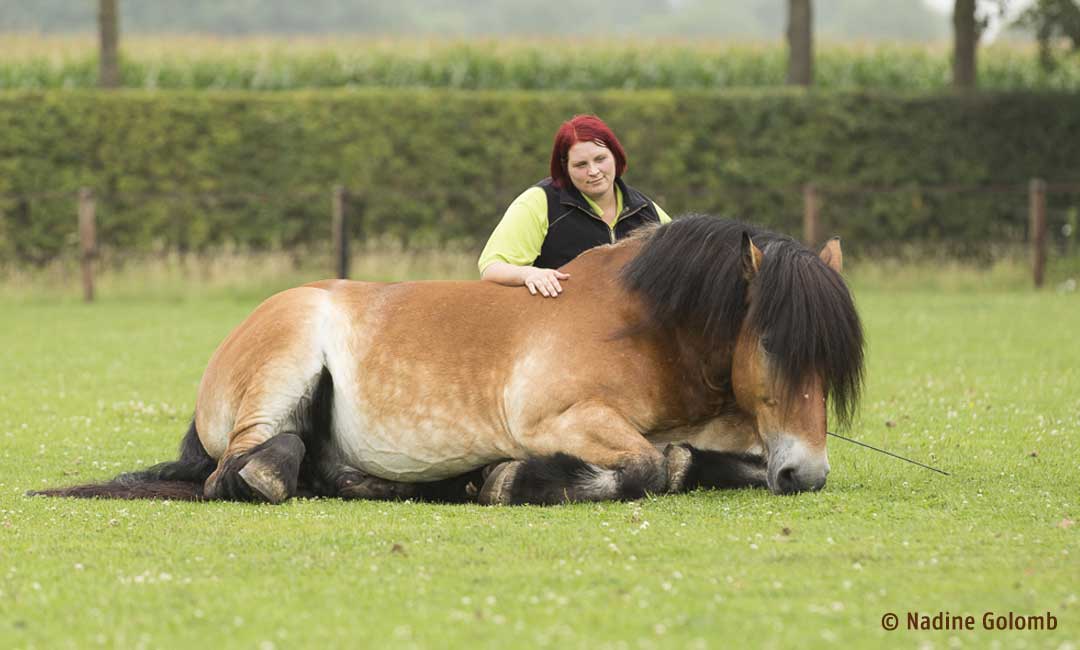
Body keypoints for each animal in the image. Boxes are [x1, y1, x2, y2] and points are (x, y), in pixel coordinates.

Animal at [29, 214, 864, 503]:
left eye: (833, 364)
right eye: (771, 344)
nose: (809, 474)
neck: (646, 329)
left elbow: (697, 460)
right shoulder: (560, 420)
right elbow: (645, 468)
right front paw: (505, 480)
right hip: (284, 362)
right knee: (244, 468)